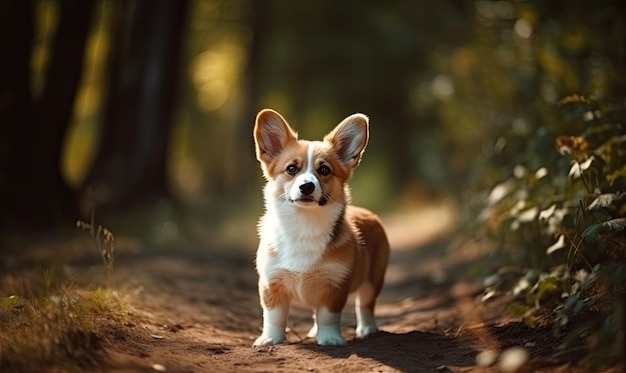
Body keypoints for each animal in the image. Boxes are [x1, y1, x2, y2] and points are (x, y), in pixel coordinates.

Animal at [251, 108, 388, 346]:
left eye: (324, 170)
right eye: (291, 169)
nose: (307, 186)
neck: (304, 225)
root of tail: (368, 212)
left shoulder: (334, 285)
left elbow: (328, 316)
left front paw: (330, 339)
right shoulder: (271, 282)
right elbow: (274, 316)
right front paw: (270, 339)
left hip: (373, 279)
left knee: (365, 304)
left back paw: (368, 329)